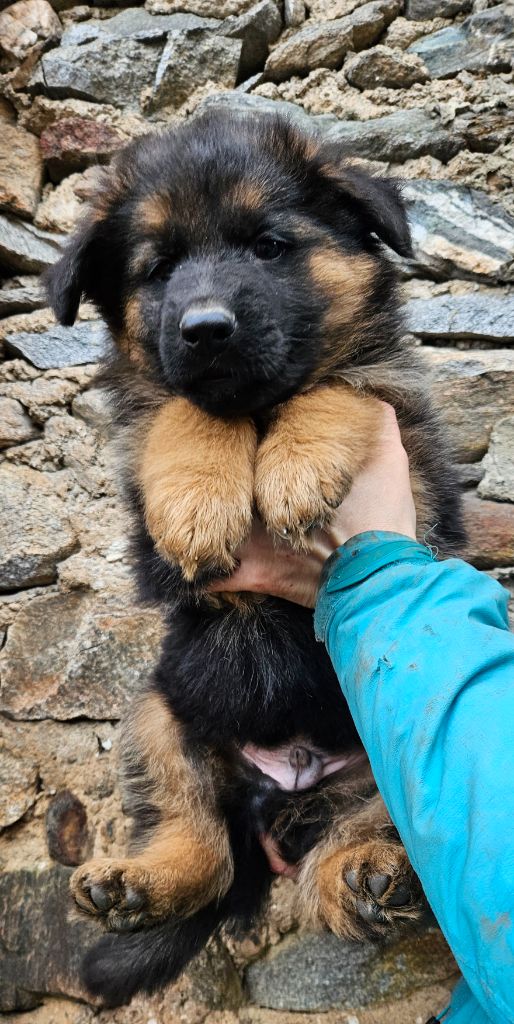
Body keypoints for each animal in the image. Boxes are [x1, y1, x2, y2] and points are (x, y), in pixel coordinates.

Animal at [45, 110, 464, 1007]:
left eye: (270, 246)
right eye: (158, 269)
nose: (205, 329)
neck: (257, 407)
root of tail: (286, 782)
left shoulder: (408, 442)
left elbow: (337, 384)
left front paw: (297, 464)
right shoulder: (148, 432)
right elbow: (186, 411)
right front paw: (199, 498)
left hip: (382, 754)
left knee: (352, 834)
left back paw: (364, 873)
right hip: (159, 711)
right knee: (198, 839)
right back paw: (139, 883)